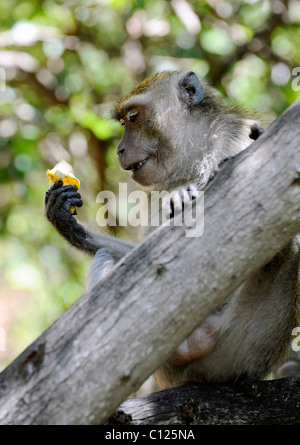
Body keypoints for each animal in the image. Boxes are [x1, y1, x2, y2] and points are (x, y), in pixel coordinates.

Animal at [45, 70, 300, 388]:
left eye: (133, 118)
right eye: (123, 122)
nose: (120, 150)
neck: (194, 154)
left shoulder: (236, 137)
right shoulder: (157, 189)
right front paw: (70, 225)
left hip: (247, 345)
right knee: (111, 258)